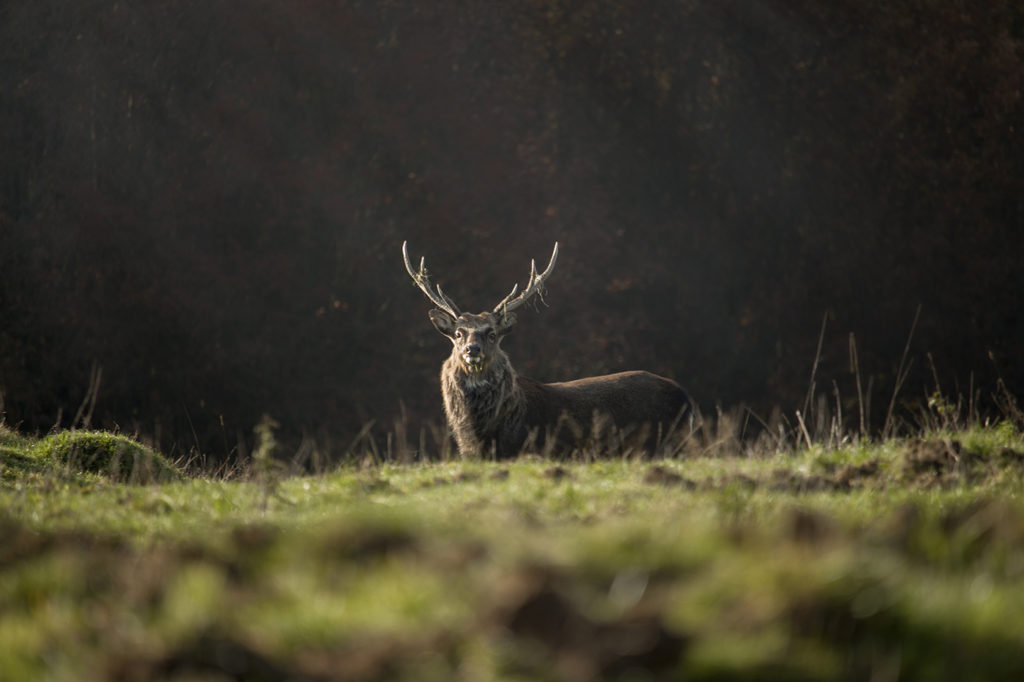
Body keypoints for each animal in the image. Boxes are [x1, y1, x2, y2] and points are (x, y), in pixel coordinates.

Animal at [403, 238, 692, 456]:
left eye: (492, 334)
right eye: (458, 334)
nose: (472, 350)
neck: (484, 433)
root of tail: (686, 398)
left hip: (665, 444)